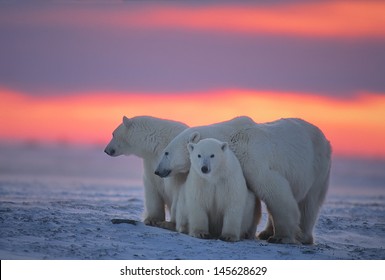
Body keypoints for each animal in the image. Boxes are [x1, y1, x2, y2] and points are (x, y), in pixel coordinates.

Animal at [154, 117, 330, 244]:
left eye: (166, 152)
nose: (157, 171)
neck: (232, 139)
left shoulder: (253, 160)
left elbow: (275, 192)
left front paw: (281, 237)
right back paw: (265, 233)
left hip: (317, 167)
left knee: (309, 202)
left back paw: (302, 236)